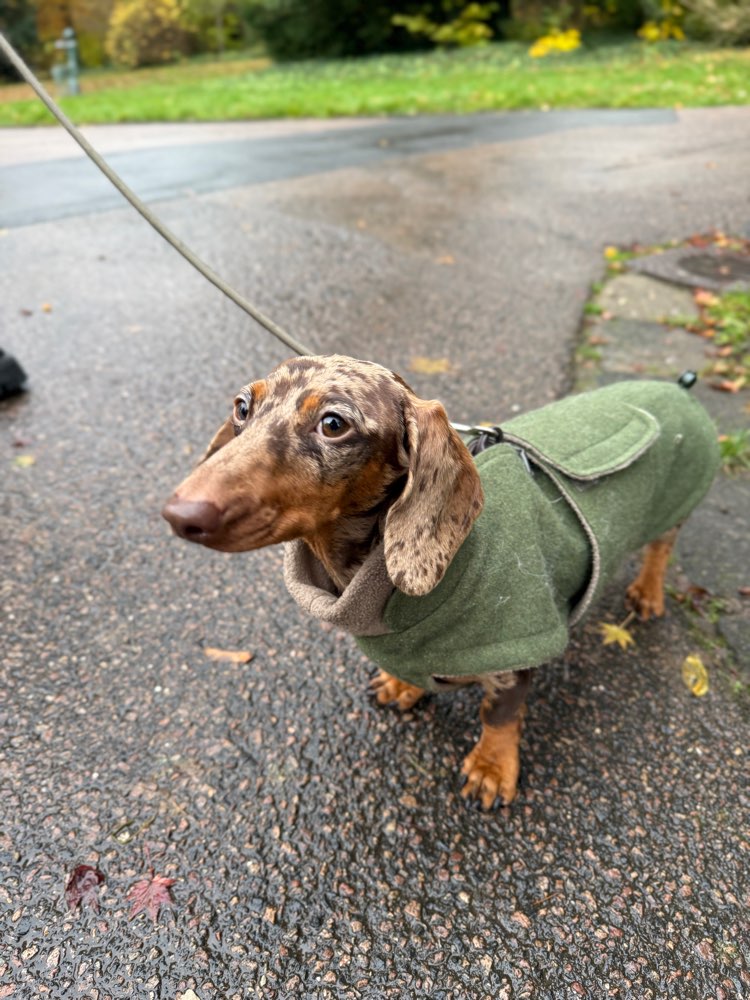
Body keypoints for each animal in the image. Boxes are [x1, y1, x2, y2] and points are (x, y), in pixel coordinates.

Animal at [163, 356, 716, 808]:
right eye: (242, 407)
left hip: (678, 503)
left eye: (334, 423)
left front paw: (492, 768)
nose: (179, 514)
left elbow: (499, 716)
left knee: (661, 549)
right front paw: (403, 685)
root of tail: (679, 387)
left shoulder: (520, 648)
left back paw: (647, 592)